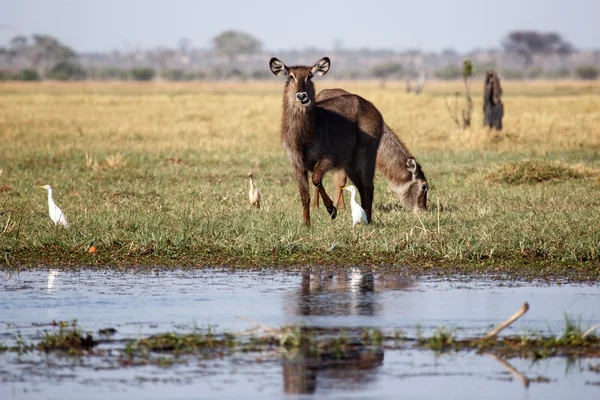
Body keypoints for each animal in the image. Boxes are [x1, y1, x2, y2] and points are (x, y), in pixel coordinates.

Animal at [270, 56, 382, 227]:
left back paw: (368, 219)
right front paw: (306, 224)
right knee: (361, 186)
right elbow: (304, 195)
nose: (301, 96)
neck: (303, 137)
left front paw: (332, 209)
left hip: (366, 154)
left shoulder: (328, 158)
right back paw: (364, 217)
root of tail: (372, 107)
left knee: (369, 186)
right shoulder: (296, 163)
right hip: (350, 163)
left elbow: (316, 178)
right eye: (290, 76)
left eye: (309, 76)